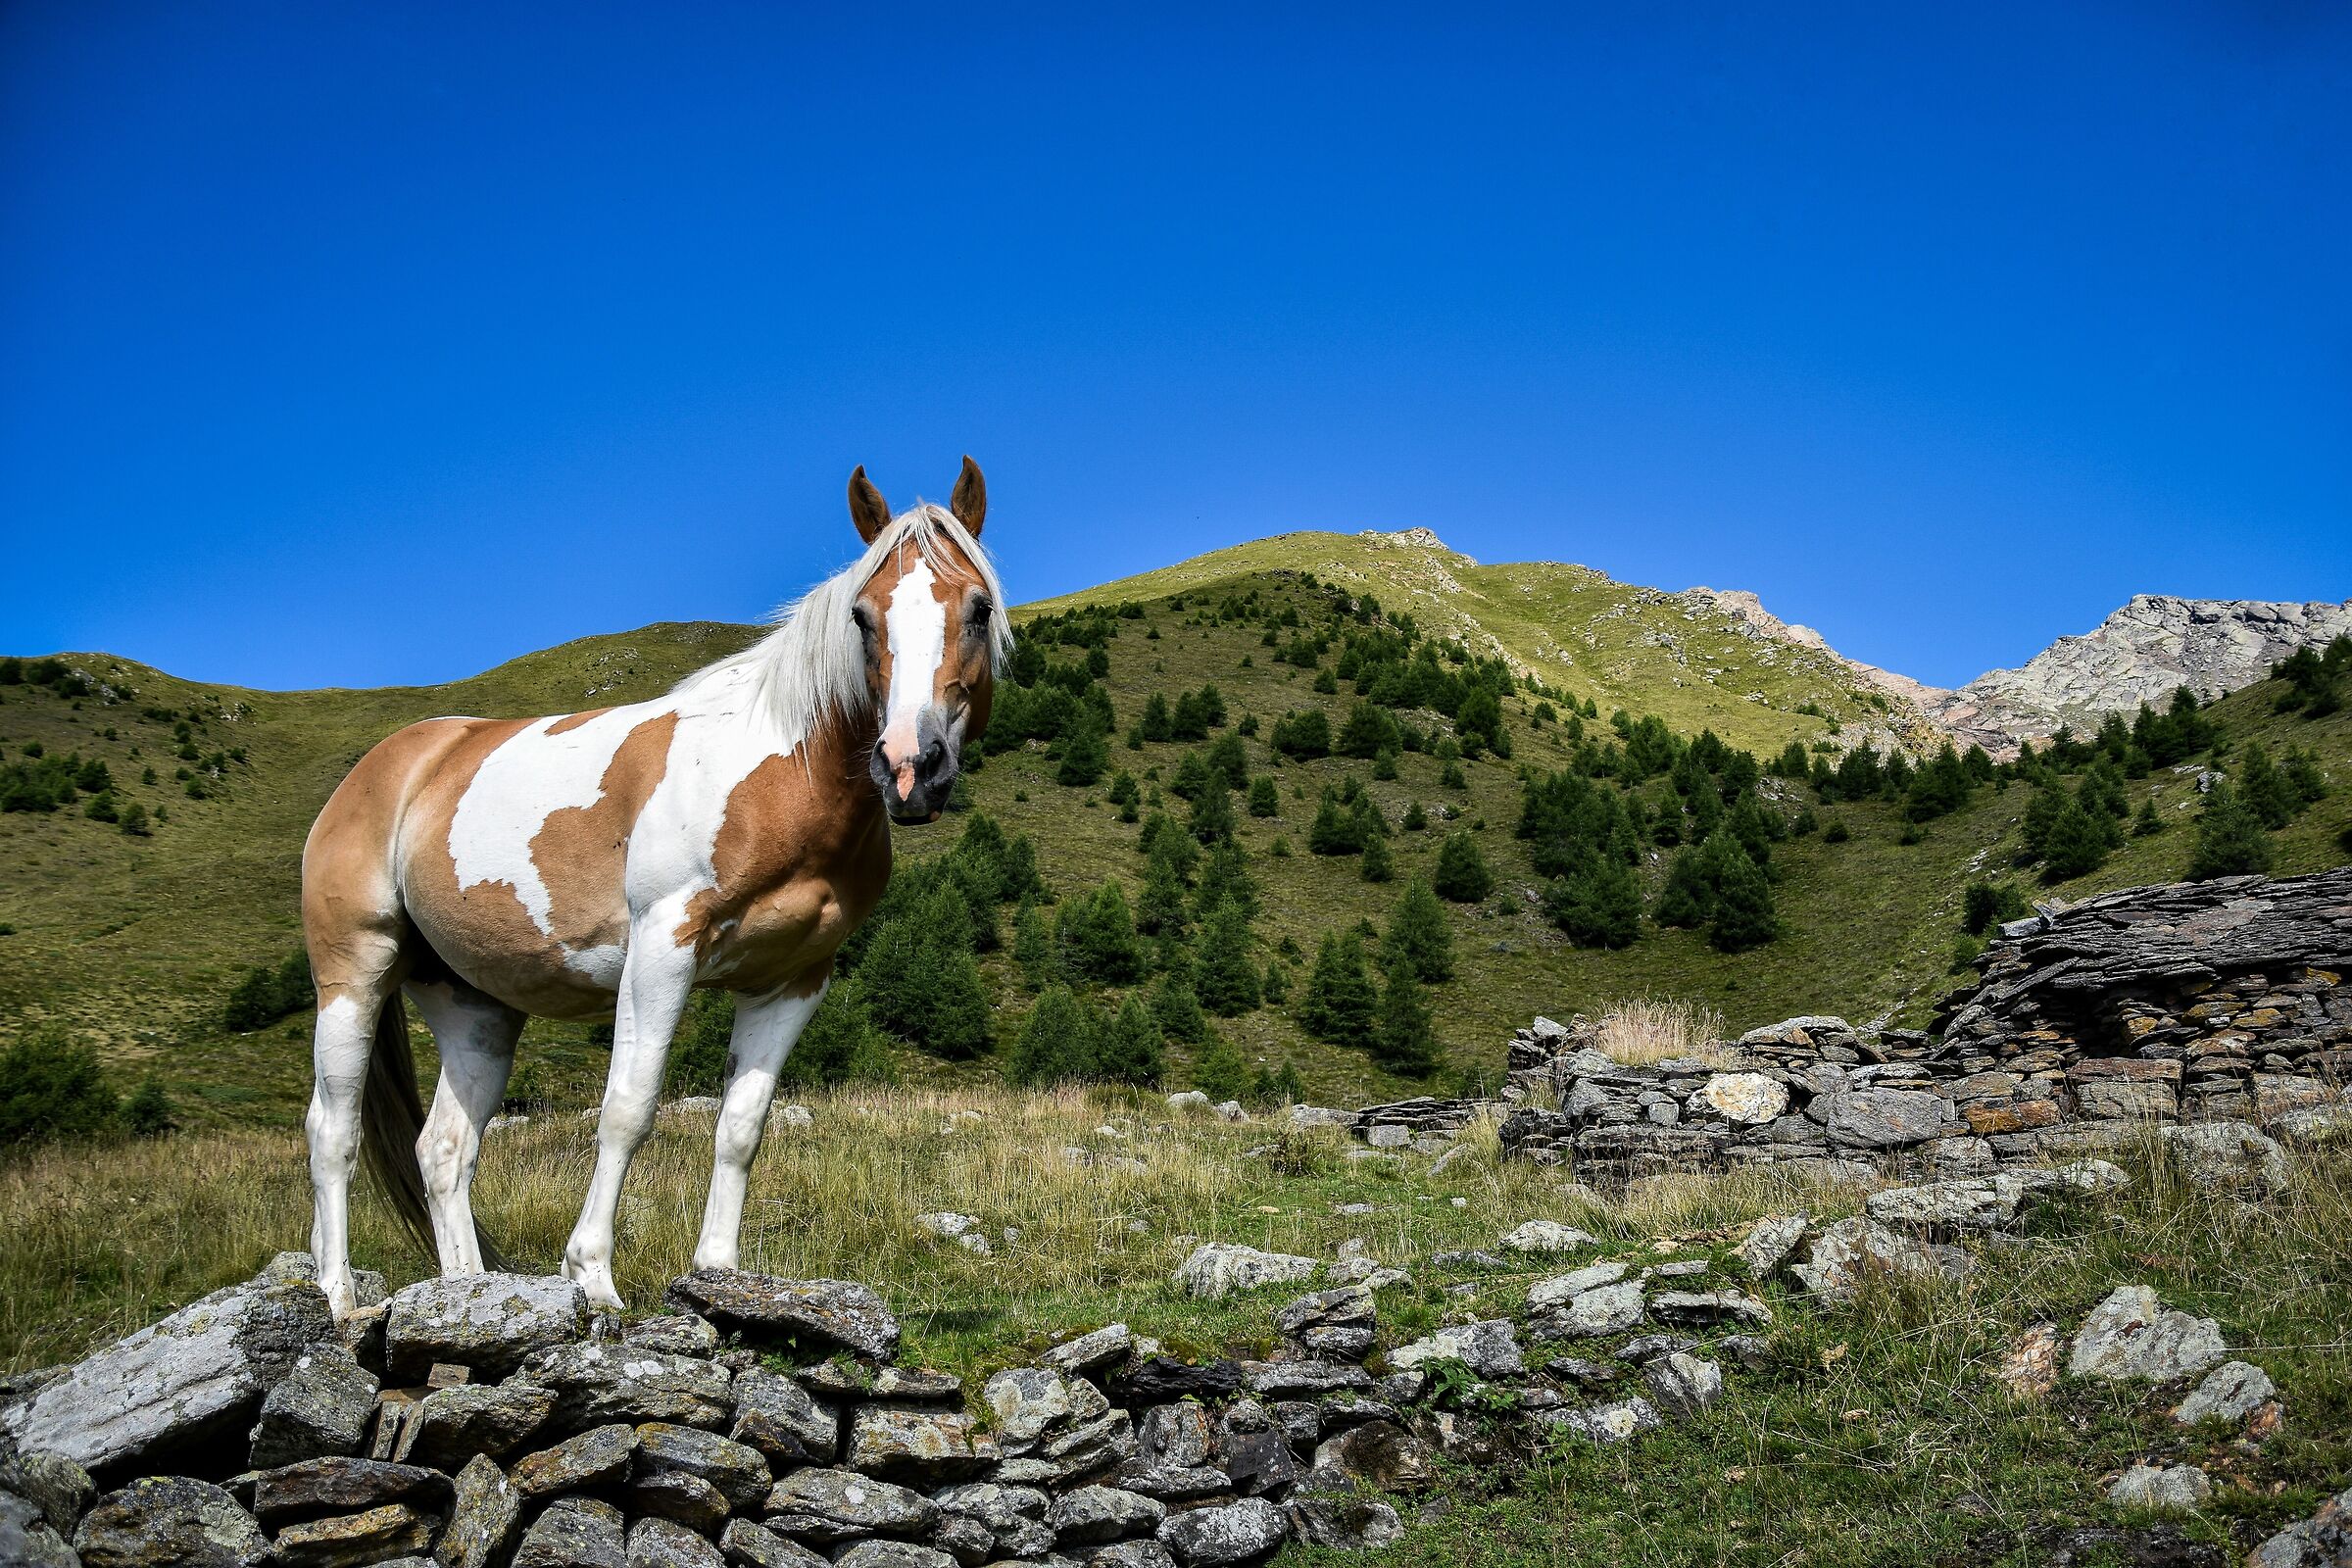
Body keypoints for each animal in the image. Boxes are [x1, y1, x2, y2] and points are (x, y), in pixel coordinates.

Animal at [299, 460, 1007, 1315]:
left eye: (977, 609)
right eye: (863, 617)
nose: (910, 767)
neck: (780, 776)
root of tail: (385, 766)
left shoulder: (792, 981)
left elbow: (742, 1127)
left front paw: (719, 1277)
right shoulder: (662, 949)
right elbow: (629, 1111)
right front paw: (592, 1278)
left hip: (475, 1005)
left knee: (443, 1150)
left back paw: (467, 1292)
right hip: (354, 971)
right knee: (332, 1132)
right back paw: (337, 1298)